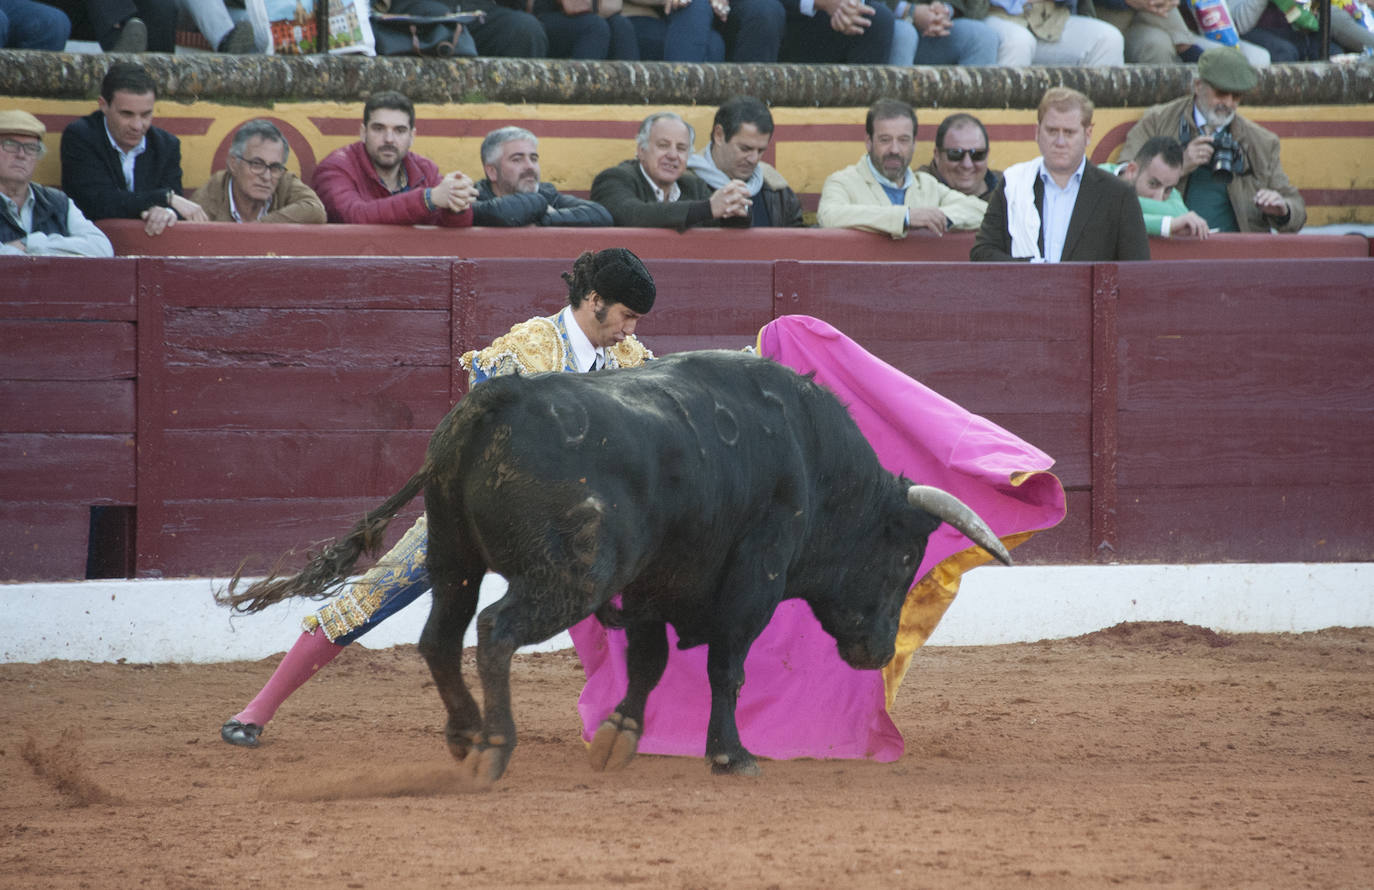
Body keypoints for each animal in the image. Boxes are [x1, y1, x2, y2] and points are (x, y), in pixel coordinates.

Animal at [225, 347, 1016, 780]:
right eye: (906, 554)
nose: (878, 650)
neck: (817, 468)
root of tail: (492, 401)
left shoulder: (653, 587)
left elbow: (649, 663)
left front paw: (620, 736)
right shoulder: (752, 581)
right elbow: (727, 667)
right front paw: (731, 755)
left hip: (451, 558)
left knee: (439, 637)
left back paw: (464, 734)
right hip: (570, 577)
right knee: (495, 631)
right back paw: (495, 745)